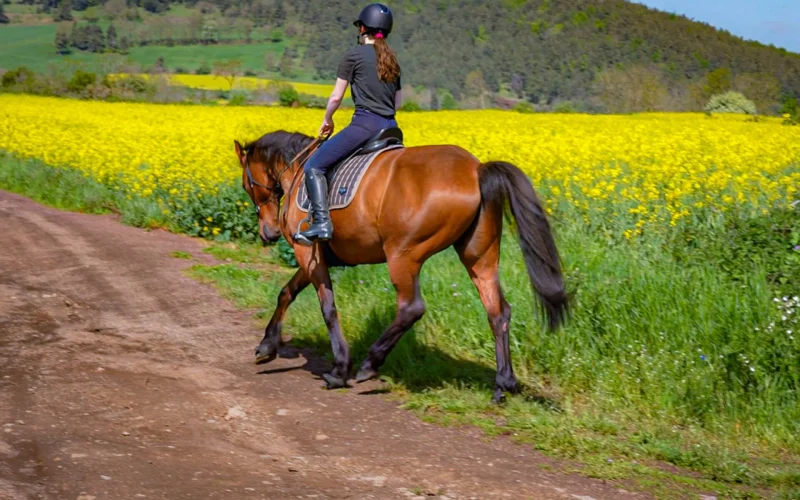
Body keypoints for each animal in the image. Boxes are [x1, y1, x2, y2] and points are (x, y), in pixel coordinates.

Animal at [231, 128, 568, 402]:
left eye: (247, 184)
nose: (270, 233)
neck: (299, 169)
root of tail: (476, 169)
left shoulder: (308, 252)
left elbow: (327, 307)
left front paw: (339, 368)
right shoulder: (314, 257)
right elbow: (287, 293)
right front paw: (267, 345)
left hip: (403, 255)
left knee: (411, 308)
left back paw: (369, 364)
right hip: (479, 256)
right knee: (498, 311)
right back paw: (503, 383)